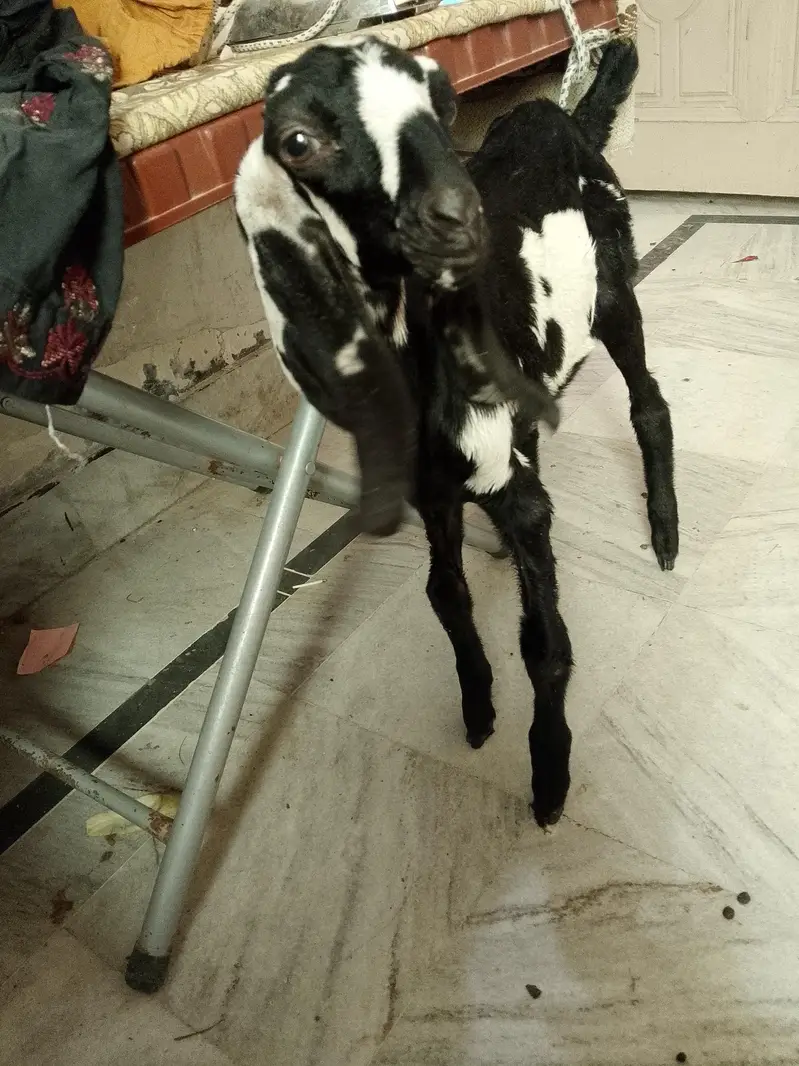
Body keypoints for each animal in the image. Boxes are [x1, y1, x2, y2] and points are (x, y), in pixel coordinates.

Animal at [235, 37, 679, 826]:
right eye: (296, 141)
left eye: (439, 104)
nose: (448, 221)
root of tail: (558, 115)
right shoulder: (433, 497)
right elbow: (444, 594)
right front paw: (477, 709)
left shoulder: (522, 501)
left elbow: (545, 643)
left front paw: (549, 778)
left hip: (612, 288)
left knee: (648, 400)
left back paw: (663, 531)